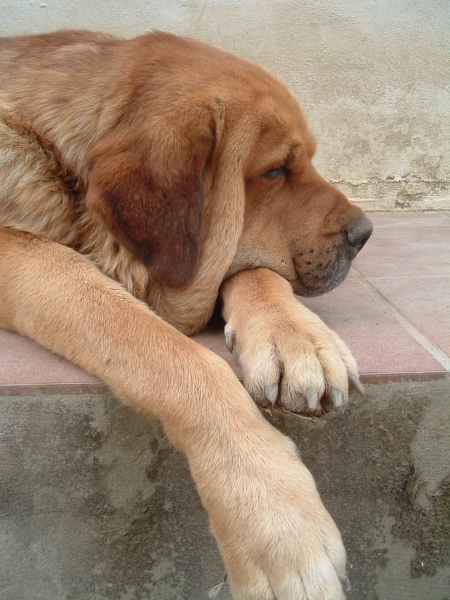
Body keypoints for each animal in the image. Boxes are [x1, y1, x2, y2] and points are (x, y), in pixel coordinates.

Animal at [0, 30, 372, 596]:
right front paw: (278, 522)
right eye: (275, 170)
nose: (365, 232)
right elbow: (181, 359)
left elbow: (257, 272)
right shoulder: (24, 253)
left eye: (306, 160)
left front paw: (300, 339)